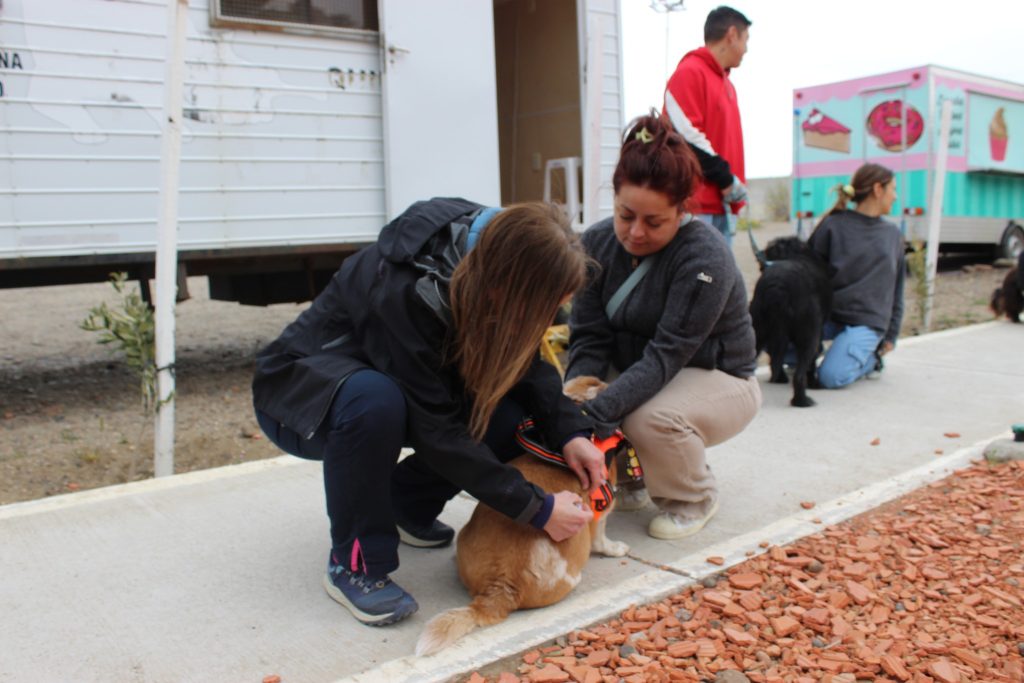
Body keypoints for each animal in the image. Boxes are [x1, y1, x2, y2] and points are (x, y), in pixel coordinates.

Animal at [749, 236, 832, 407]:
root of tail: (778, 287)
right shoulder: (817, 332)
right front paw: (814, 383)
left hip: (757, 329)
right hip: (809, 335)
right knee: (800, 373)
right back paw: (803, 400)